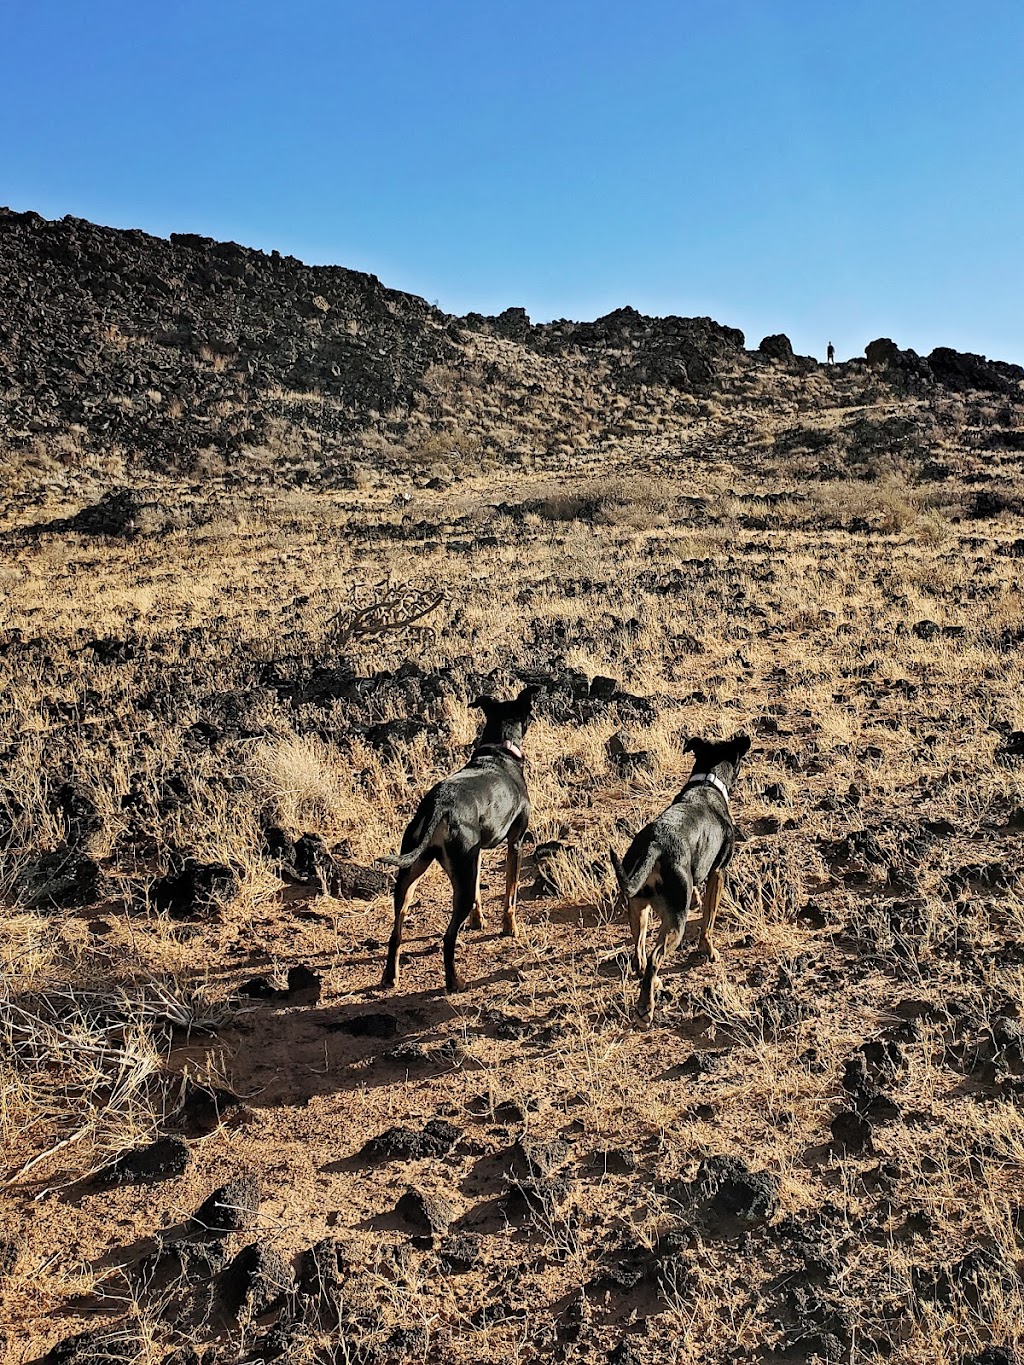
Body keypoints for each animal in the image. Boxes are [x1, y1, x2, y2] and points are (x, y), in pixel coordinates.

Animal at [382, 682, 546, 993]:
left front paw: (478, 920)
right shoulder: (516, 843)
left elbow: (482, 889)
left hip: (411, 872)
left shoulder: (475, 854)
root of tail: (438, 804)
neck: (500, 750)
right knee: (448, 938)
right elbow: (510, 893)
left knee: (396, 931)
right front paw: (509, 928)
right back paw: (454, 981)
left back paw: (390, 976)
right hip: (452, 872)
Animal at [608, 737, 753, 1026]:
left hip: (639, 907)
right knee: (654, 956)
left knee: (640, 951)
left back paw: (652, 984)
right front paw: (709, 950)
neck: (707, 782)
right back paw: (645, 1008)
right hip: (676, 920)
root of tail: (655, 844)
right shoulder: (718, 872)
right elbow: (708, 919)